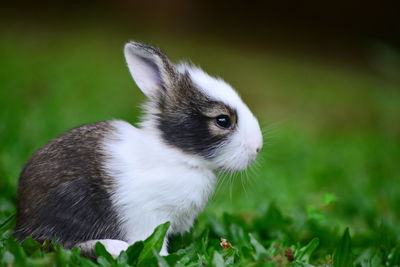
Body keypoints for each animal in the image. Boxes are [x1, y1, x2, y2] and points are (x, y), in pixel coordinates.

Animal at [13, 41, 262, 258]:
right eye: (222, 120)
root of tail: (22, 219)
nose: (258, 147)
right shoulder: (150, 216)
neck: (177, 154)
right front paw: (162, 258)